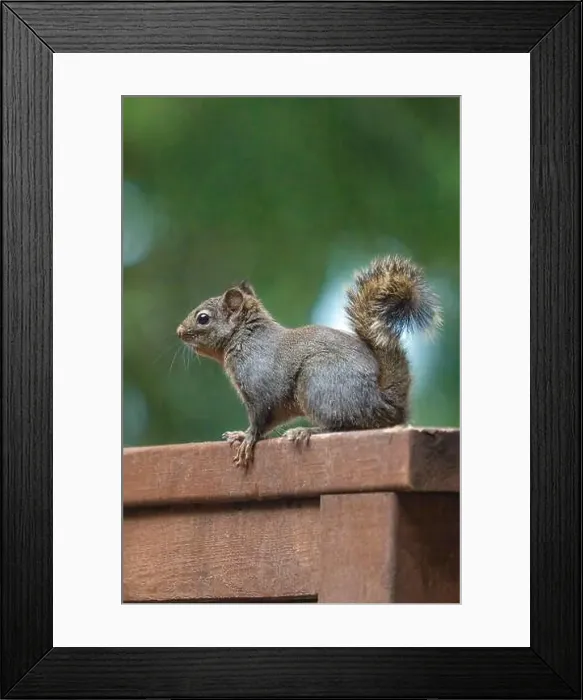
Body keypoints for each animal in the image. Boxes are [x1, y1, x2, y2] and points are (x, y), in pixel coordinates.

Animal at [177, 255, 442, 469]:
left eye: (203, 318)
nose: (179, 331)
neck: (245, 337)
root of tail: (385, 401)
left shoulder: (259, 387)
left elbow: (259, 418)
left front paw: (248, 438)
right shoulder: (277, 405)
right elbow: (270, 421)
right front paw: (241, 435)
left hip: (318, 383)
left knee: (347, 426)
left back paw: (306, 430)